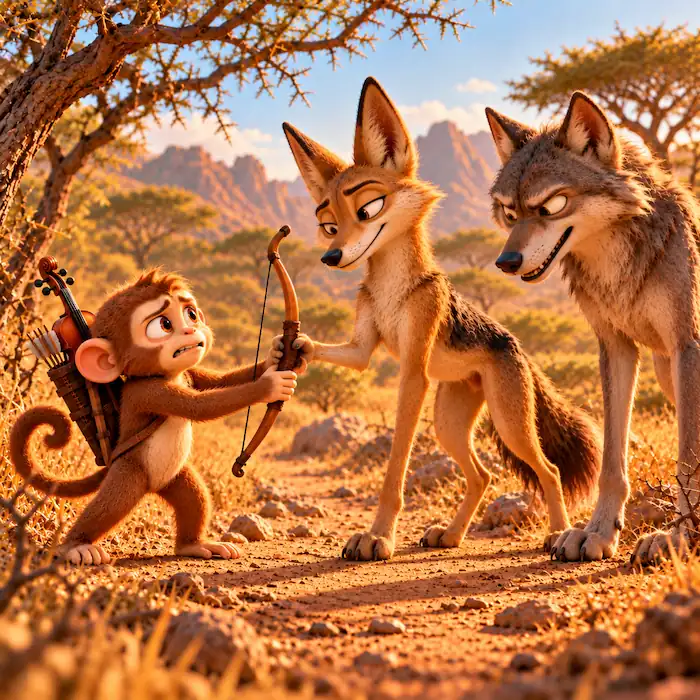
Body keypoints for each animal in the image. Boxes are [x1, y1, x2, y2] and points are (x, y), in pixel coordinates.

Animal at [10, 269, 303, 566]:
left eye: (191, 314)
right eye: (163, 325)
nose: (190, 330)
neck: (168, 375)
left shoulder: (190, 375)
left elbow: (220, 381)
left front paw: (280, 352)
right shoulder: (149, 393)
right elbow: (200, 406)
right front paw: (270, 385)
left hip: (176, 477)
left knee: (195, 498)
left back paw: (195, 545)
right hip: (129, 472)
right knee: (111, 505)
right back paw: (76, 547)